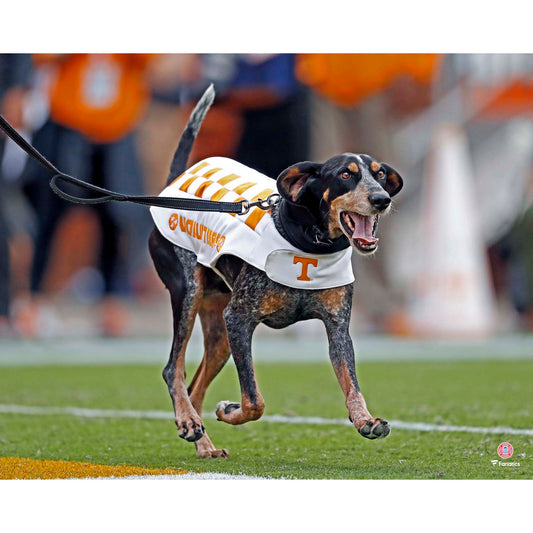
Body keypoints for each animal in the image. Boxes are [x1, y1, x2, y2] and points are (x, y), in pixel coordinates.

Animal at [148, 87, 402, 458]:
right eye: (345, 174)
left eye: (379, 174)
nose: (381, 198)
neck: (308, 240)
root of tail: (174, 183)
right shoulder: (239, 319)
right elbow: (254, 401)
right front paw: (230, 410)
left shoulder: (337, 327)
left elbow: (351, 382)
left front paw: (365, 419)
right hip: (189, 294)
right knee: (172, 370)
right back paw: (189, 422)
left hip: (220, 331)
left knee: (194, 386)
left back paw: (201, 441)